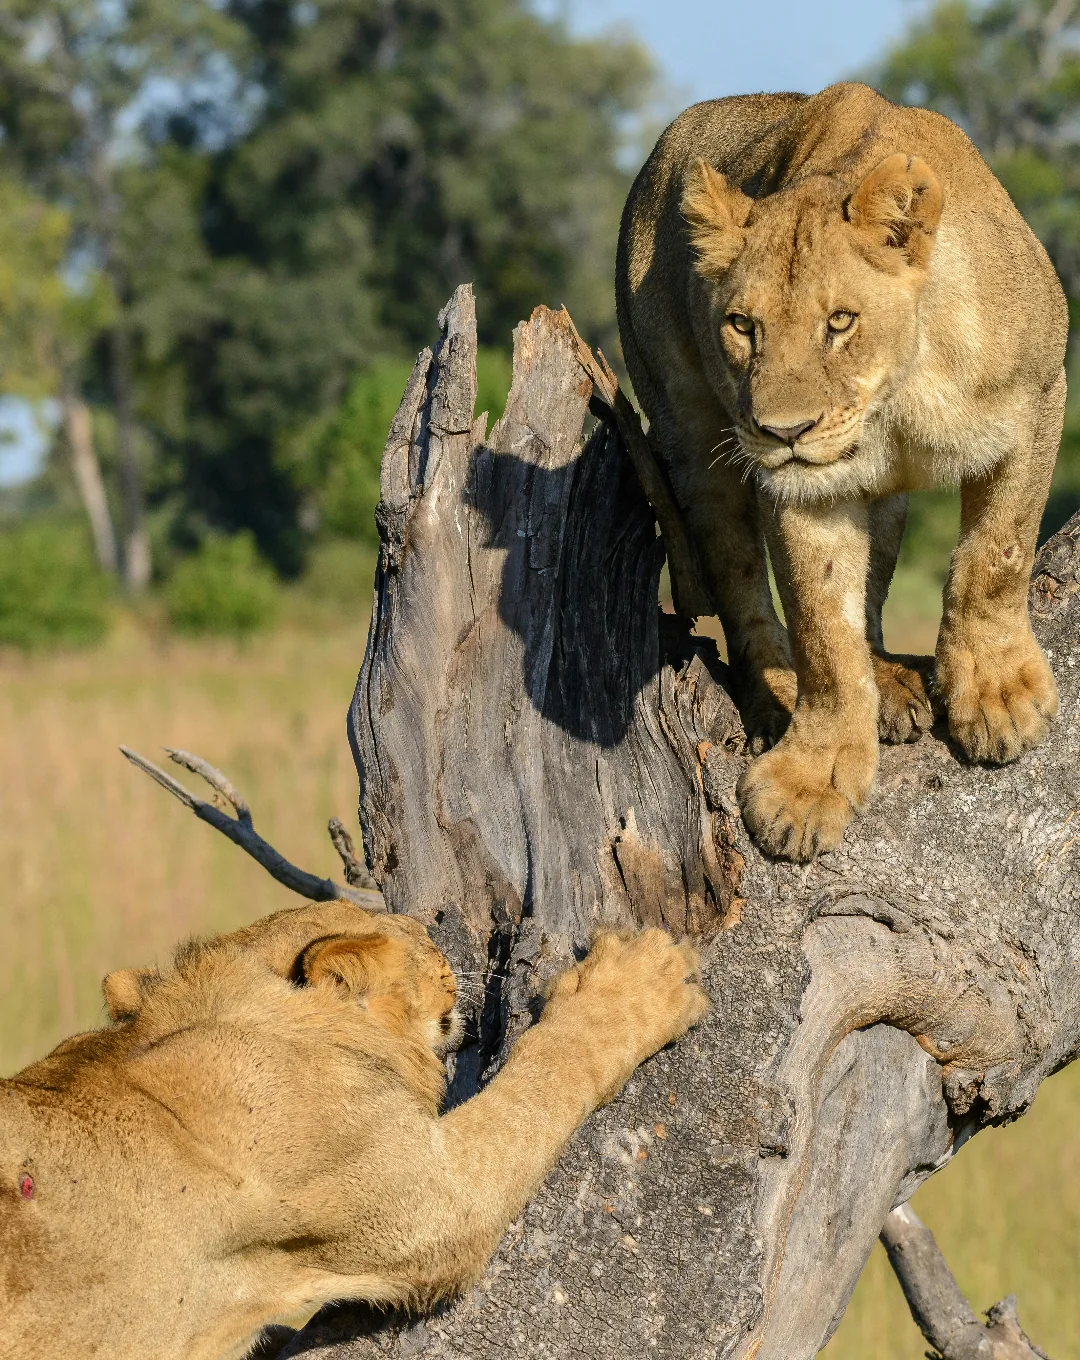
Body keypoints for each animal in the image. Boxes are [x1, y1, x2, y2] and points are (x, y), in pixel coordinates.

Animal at [616, 81, 1067, 861]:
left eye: (839, 322)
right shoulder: (805, 490)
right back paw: (778, 701)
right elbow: (823, 629)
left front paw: (999, 694)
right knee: (740, 583)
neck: (898, 390)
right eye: (743, 325)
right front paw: (810, 779)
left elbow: (996, 554)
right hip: (689, 434)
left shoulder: (1039, 395)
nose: (782, 432)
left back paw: (889, 681)